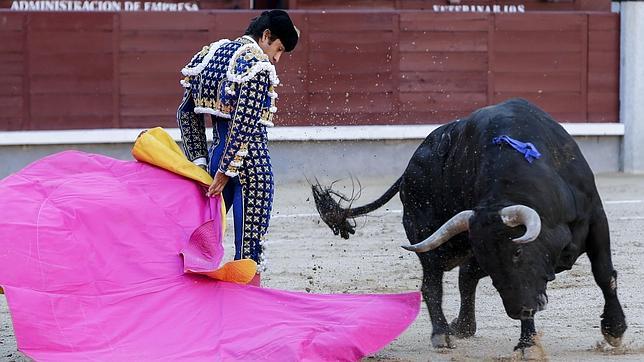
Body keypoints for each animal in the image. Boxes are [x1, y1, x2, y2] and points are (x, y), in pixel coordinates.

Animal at [312, 98, 624, 354]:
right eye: (493, 260)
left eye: (517, 253)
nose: (516, 311)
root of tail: (409, 169)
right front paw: (528, 344)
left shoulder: (596, 218)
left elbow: (603, 274)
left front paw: (615, 330)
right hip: (425, 237)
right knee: (432, 285)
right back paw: (442, 334)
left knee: (465, 279)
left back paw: (464, 326)